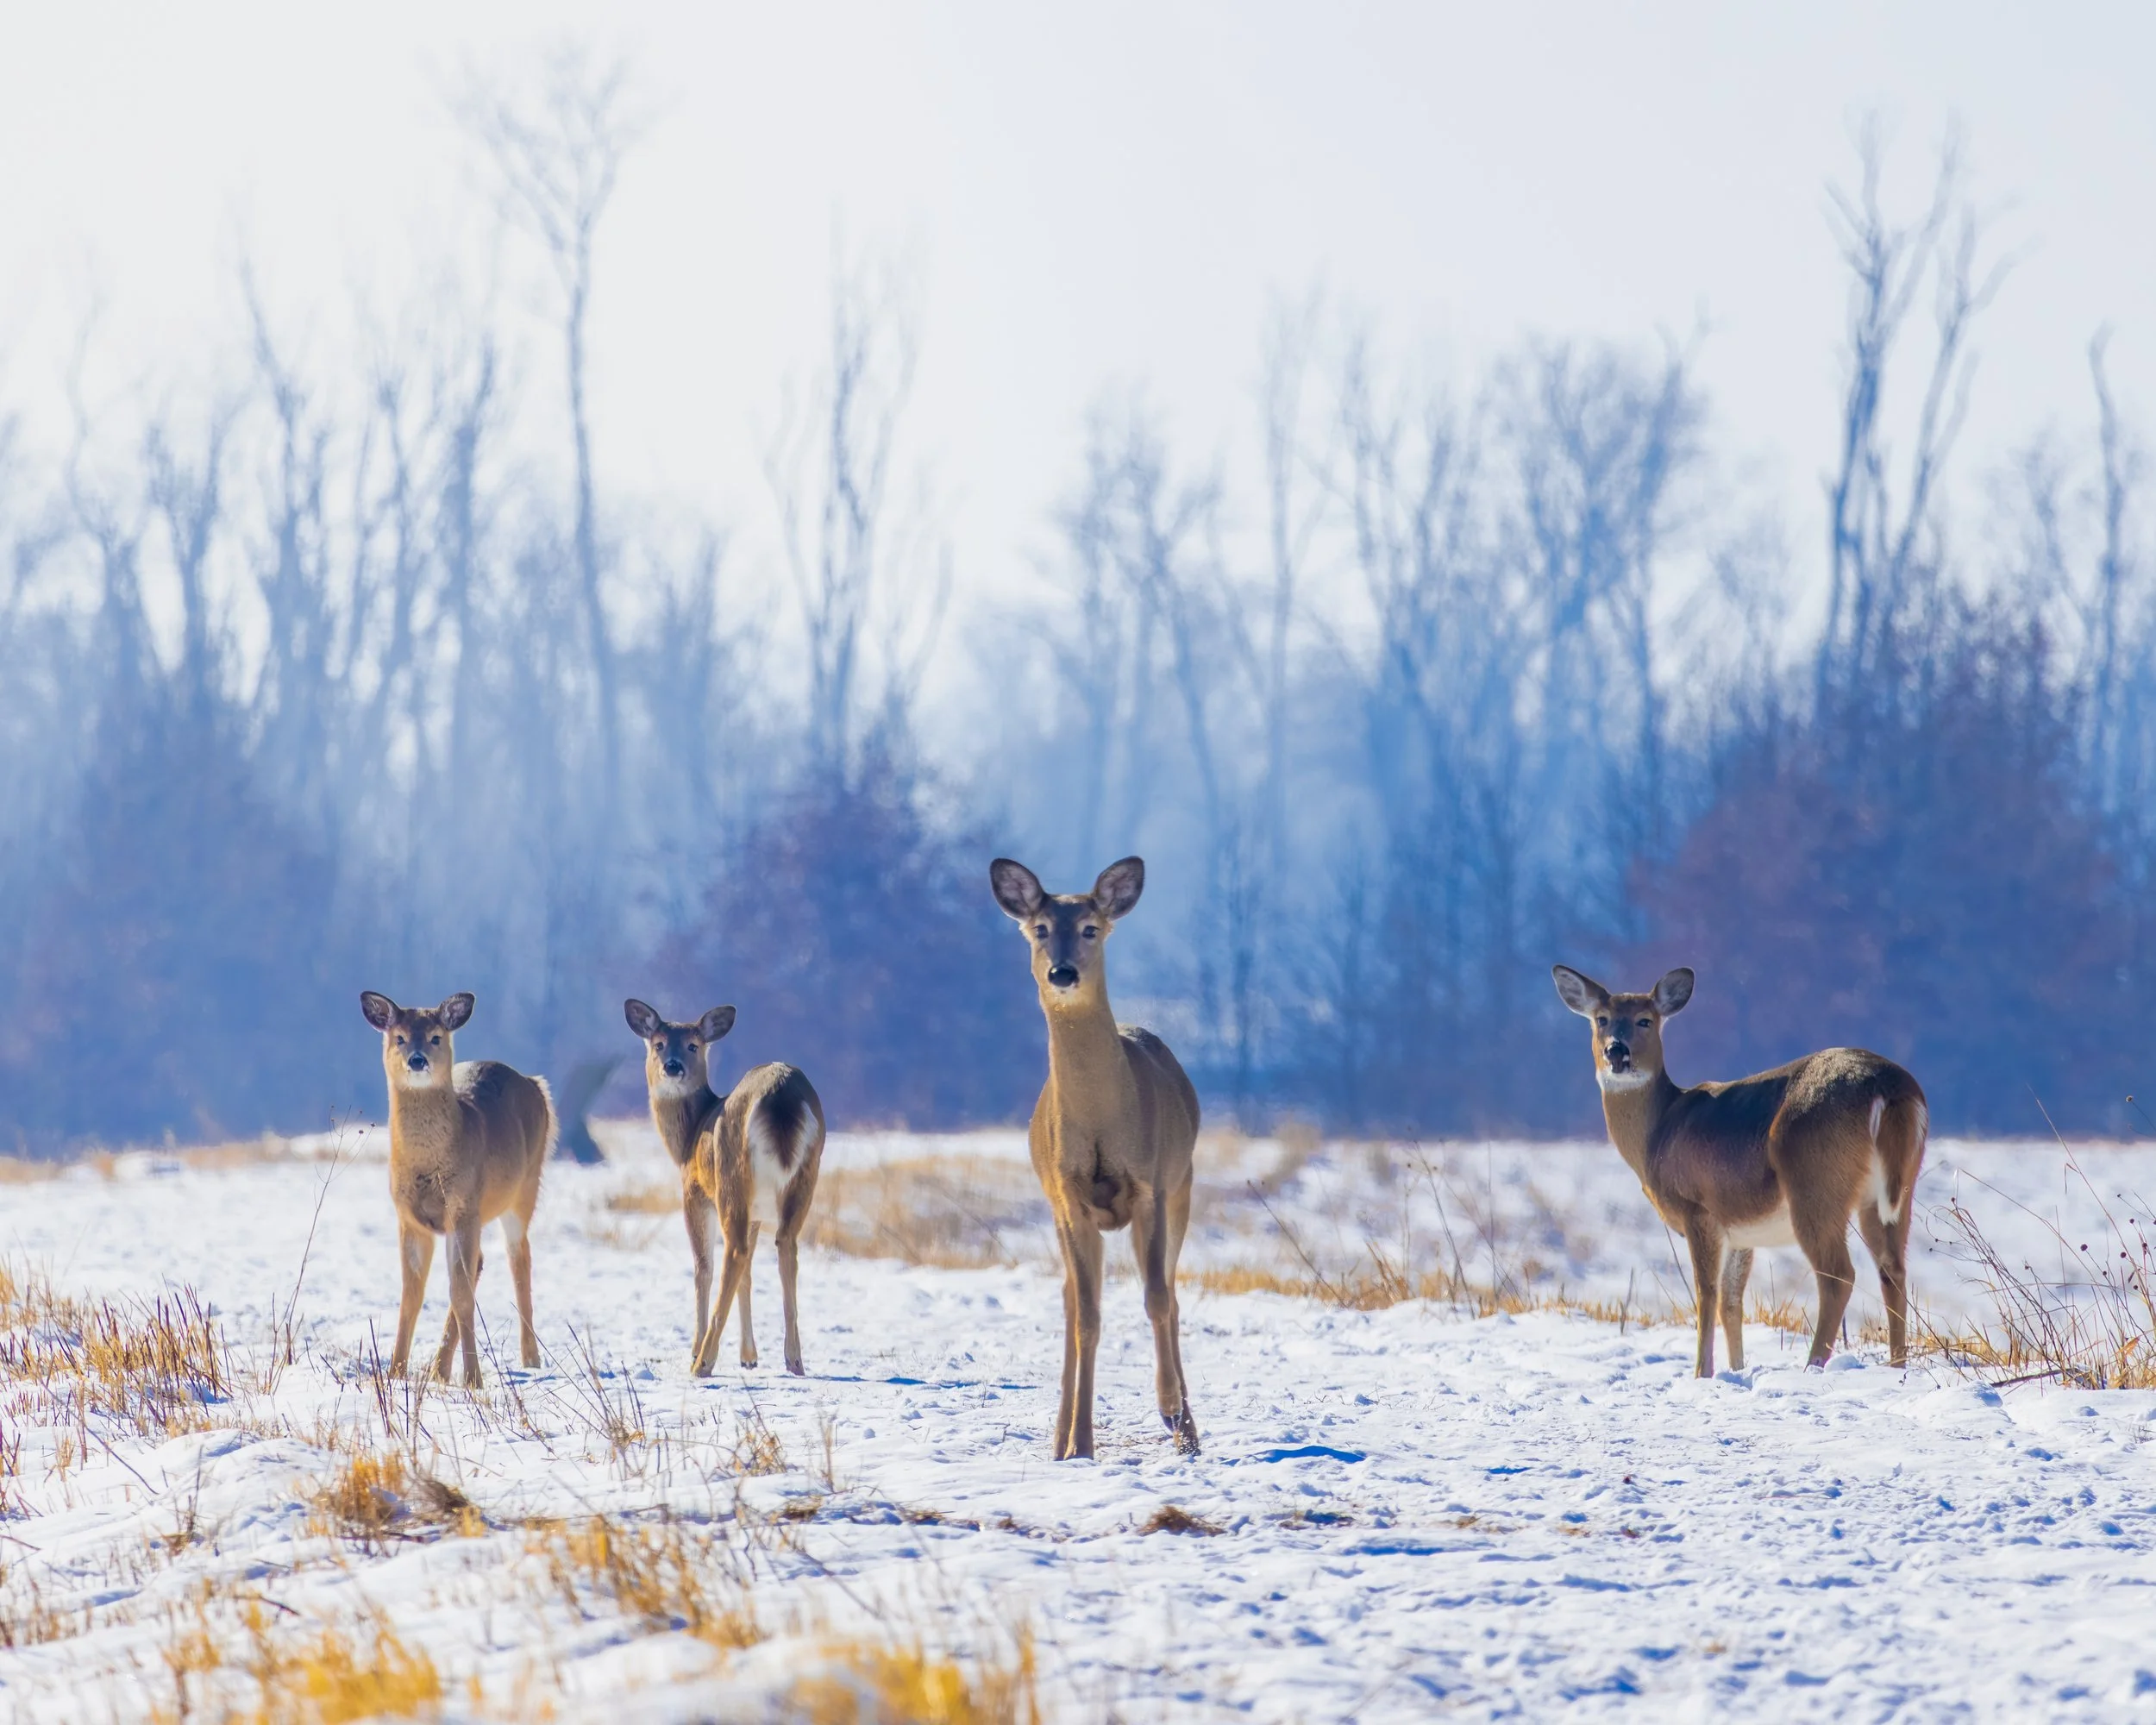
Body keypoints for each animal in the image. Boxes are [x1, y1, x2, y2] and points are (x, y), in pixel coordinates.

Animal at [359, 991, 556, 1388]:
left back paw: (530, 1358)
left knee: (519, 1259)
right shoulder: (410, 1219)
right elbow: (412, 1294)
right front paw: (395, 1372)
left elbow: (461, 1294)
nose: (417, 1059)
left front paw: (474, 1379)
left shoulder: (464, 1206)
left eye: (436, 1036)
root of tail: (535, 1082)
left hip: (524, 1188)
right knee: (479, 1263)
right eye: (399, 1037)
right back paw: (439, 1369)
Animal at [623, 999, 826, 1377]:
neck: (689, 1136)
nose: (672, 1066)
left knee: (734, 1253)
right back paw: (794, 1360)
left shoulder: (694, 1191)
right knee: (785, 1246)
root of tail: (782, 1093)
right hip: (805, 1174)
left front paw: (696, 1350)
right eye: (659, 1044)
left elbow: (702, 1267)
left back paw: (704, 1361)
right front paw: (749, 1356)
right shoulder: (758, 1211)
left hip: (731, 1173)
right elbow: (749, 1276)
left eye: (693, 1045)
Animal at [990, 856, 1201, 1460]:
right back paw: (1061, 1439)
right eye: (1040, 928)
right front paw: (1080, 1445)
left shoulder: (1151, 1188)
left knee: (1171, 1294)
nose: (1062, 973)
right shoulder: (1071, 1199)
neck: (1103, 1119)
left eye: (1091, 928)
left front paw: (1168, 1406)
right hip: (1063, 1212)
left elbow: (1156, 1299)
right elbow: (1087, 1316)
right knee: (1071, 1302)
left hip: (1184, 1188)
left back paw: (1189, 1433)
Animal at [1551, 965, 1928, 1379]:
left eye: (1645, 1020)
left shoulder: (1698, 1208)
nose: (1616, 1051)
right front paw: (1737, 1369)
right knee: (1893, 1269)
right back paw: (1897, 1365)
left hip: (1815, 1183)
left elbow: (1706, 1294)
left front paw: (1702, 1373)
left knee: (1838, 1275)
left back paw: (1813, 1365)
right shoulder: (1740, 1230)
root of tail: (1889, 1089)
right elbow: (1731, 1301)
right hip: (1894, 1191)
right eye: (1601, 1019)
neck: (1659, 1134)